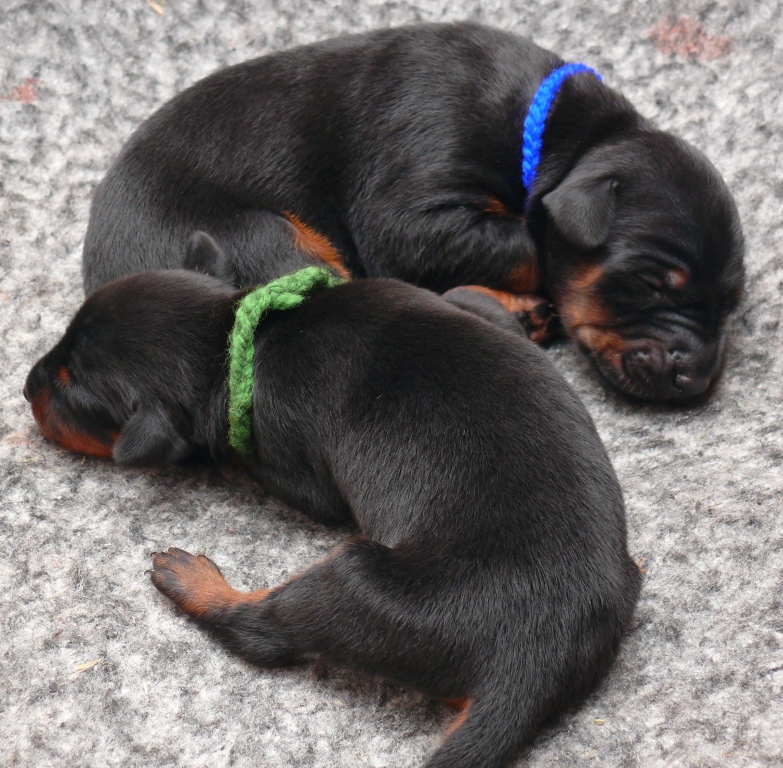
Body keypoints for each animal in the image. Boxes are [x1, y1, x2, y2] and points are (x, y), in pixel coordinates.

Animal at [27, 260, 644, 768]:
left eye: (69, 387)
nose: (27, 384)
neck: (240, 337)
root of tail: (534, 663)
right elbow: (463, 295)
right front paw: (523, 309)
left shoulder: (293, 462)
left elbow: (256, 466)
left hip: (356, 580)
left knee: (264, 631)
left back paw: (194, 580)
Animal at [84, 19, 748, 402]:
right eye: (653, 284)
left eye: (731, 302)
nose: (697, 379)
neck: (561, 133)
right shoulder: (413, 207)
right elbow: (526, 241)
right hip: (262, 235)